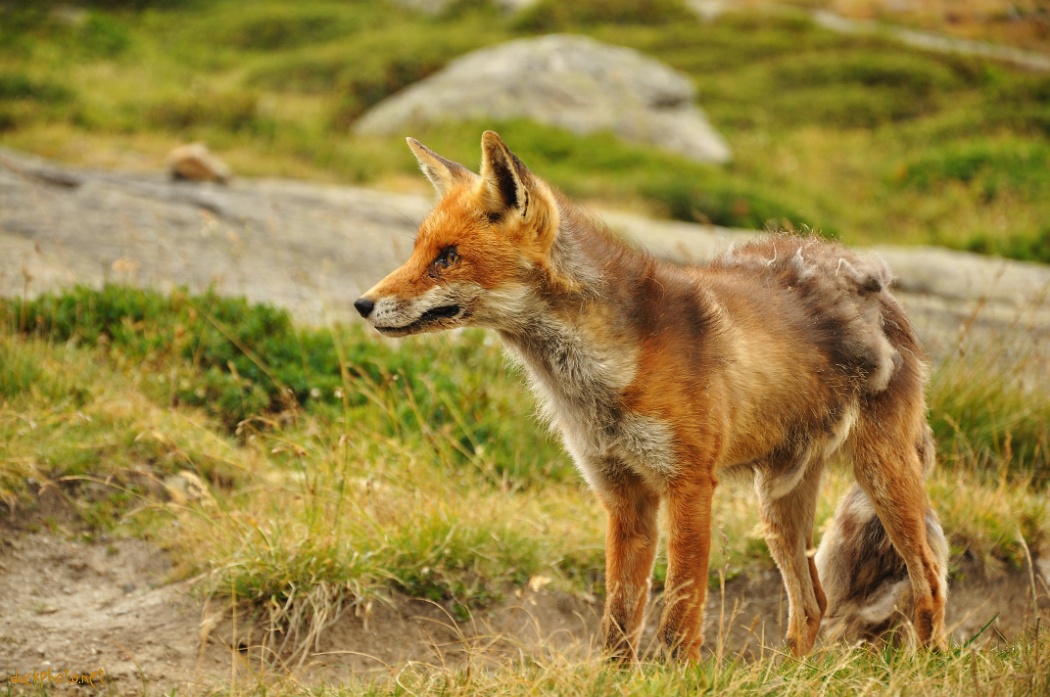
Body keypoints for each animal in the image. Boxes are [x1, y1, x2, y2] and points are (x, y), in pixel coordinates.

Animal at [354, 132, 953, 663]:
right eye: (419, 251)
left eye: (448, 257)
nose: (361, 304)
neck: (600, 382)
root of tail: (879, 289)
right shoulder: (623, 497)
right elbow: (619, 621)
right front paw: (614, 680)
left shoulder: (689, 484)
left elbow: (677, 616)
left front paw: (678, 676)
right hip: (778, 502)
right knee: (812, 603)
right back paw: (792, 677)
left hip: (880, 474)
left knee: (928, 578)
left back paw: (927, 665)